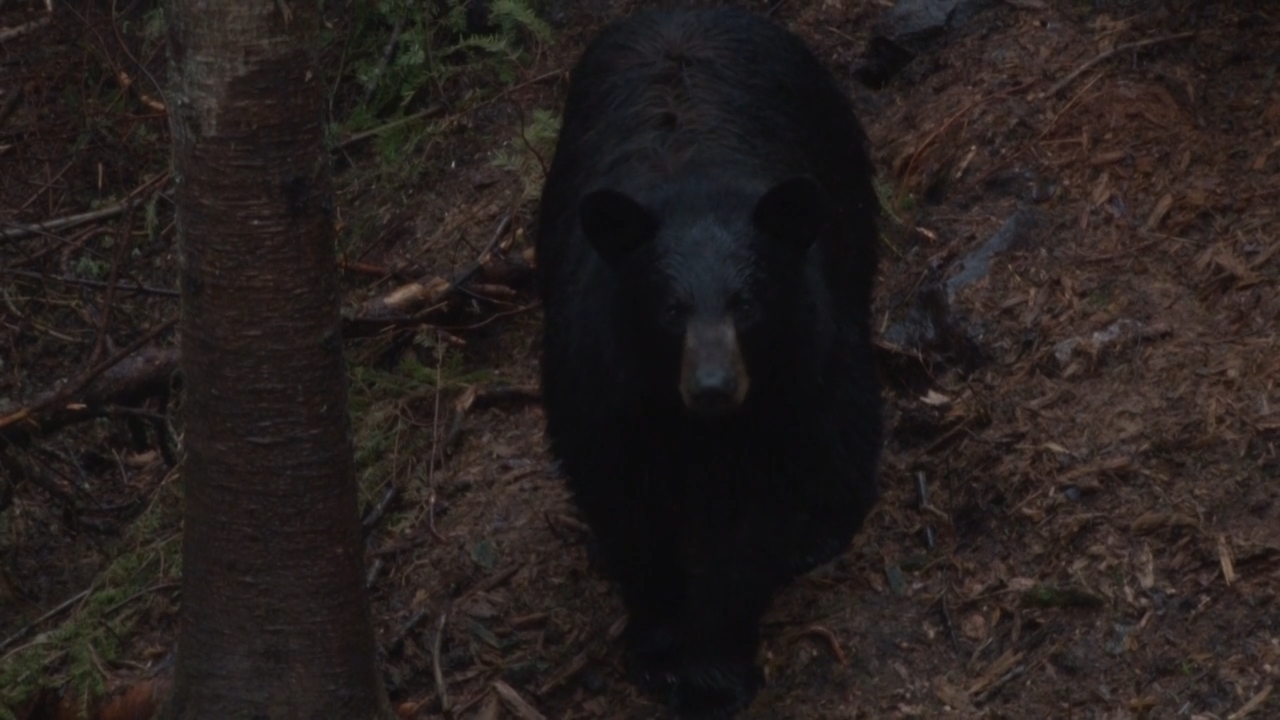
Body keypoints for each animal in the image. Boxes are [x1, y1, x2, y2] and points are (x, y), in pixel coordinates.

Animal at [535, 6, 882, 717]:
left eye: (745, 303)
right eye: (671, 309)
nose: (715, 387)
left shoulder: (781, 378)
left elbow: (754, 515)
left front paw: (712, 674)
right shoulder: (599, 377)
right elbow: (624, 502)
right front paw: (660, 644)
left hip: (844, 230)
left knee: (846, 395)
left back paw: (825, 525)